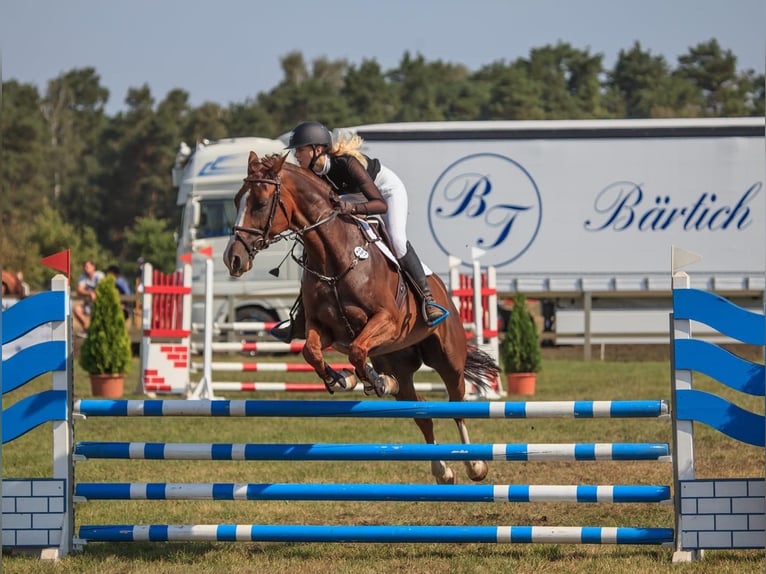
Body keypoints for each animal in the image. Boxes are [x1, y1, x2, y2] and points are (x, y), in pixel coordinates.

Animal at [222, 153, 500, 486]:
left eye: (261, 204)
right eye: (236, 200)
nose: (233, 259)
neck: (333, 256)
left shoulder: (388, 321)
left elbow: (356, 350)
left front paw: (371, 381)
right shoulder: (323, 328)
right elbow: (313, 352)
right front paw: (345, 379)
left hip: (447, 358)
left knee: (456, 405)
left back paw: (475, 464)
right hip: (398, 361)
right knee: (421, 412)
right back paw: (441, 469)